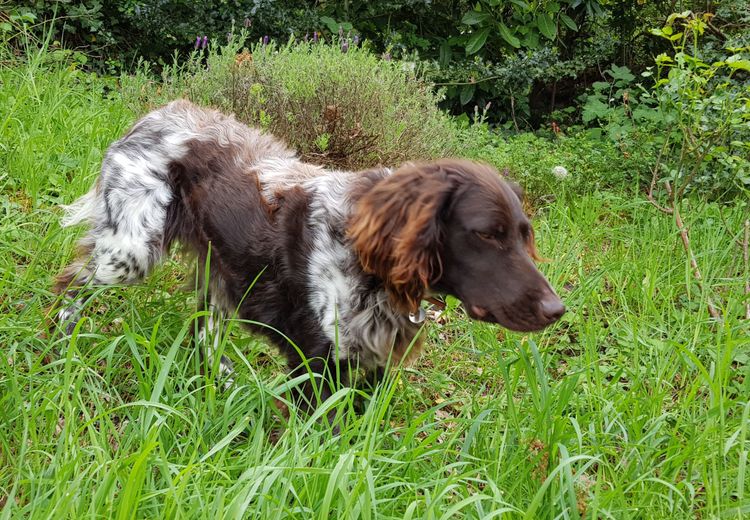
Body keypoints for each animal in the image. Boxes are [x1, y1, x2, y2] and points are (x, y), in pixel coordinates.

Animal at [54, 98, 564, 402]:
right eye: (486, 234)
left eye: (524, 234)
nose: (556, 310)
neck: (370, 267)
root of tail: (154, 114)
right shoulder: (316, 363)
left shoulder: (372, 366)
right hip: (130, 252)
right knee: (70, 286)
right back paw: (61, 347)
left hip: (219, 274)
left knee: (204, 332)